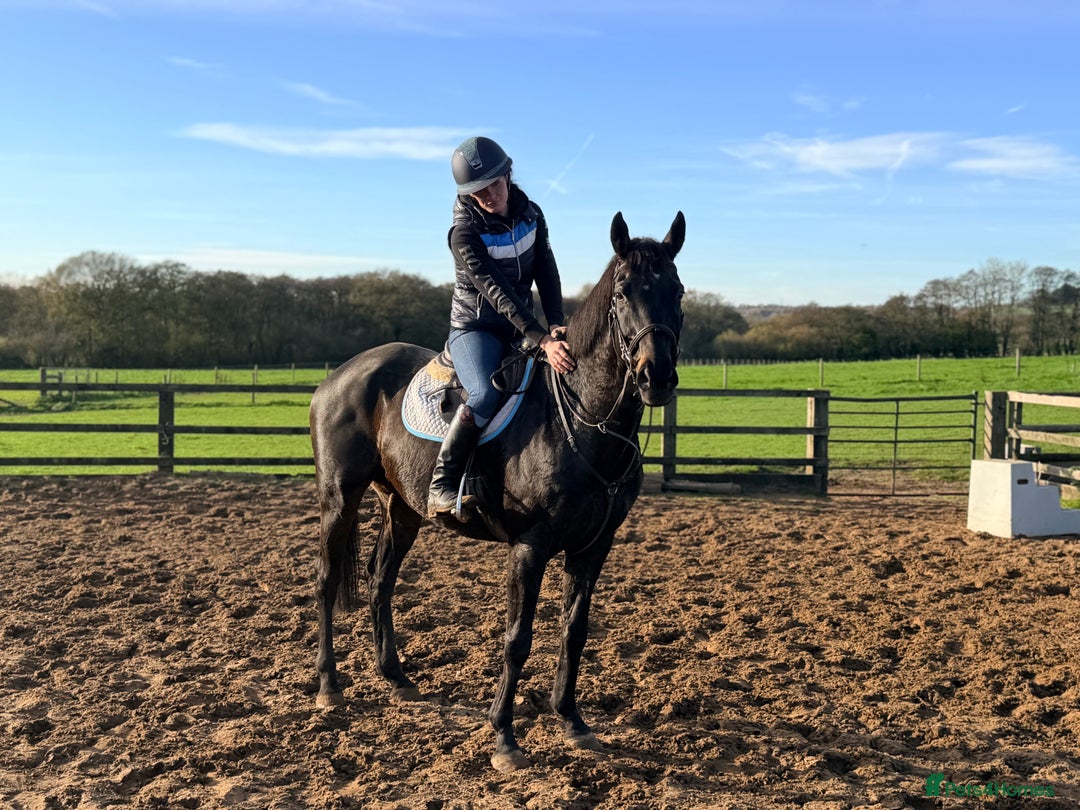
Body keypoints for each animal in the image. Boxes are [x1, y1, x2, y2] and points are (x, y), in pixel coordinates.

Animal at [309, 210, 686, 772]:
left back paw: (396, 678)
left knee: (381, 581)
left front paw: (571, 721)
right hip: (340, 499)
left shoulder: (594, 546)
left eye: (677, 291)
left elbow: (575, 631)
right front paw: (505, 738)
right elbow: (517, 639)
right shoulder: (530, 546)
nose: (655, 375)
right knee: (328, 580)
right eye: (622, 292)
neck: (581, 419)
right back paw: (329, 686)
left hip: (401, 507)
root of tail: (338, 377)